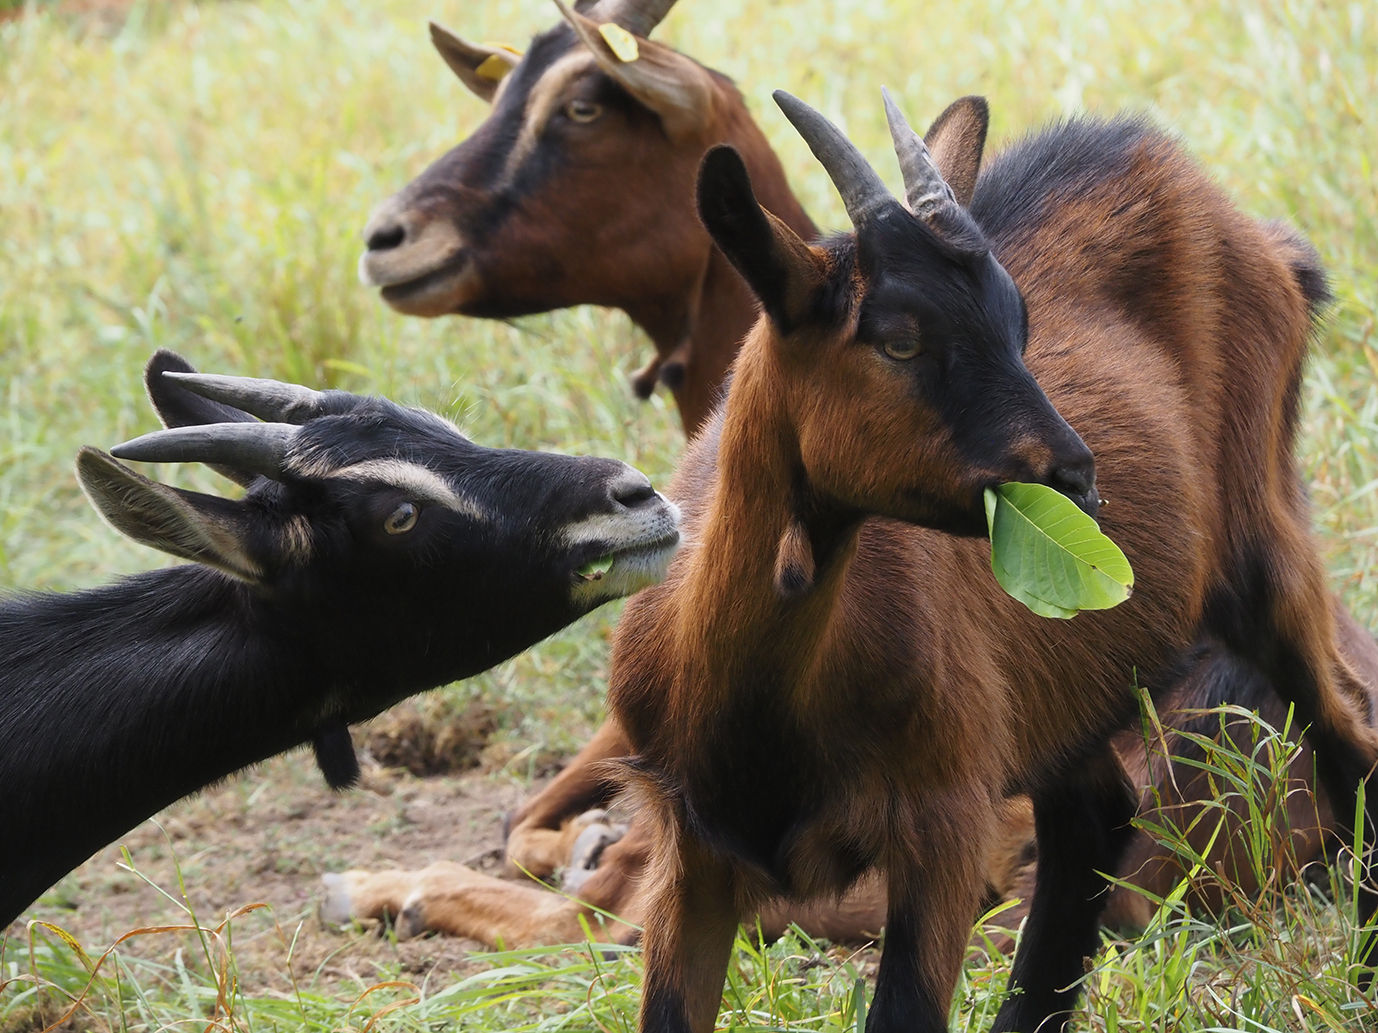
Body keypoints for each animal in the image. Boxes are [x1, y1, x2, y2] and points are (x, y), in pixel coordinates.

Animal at [603, 90, 1378, 1033]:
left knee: (1350, 735)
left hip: (1263, 546)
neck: (759, 702)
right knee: (1092, 820)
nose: (1077, 475)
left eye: (1020, 323)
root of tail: (1261, 237)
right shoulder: (692, 855)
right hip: (1061, 678)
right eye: (898, 341)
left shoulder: (944, 819)